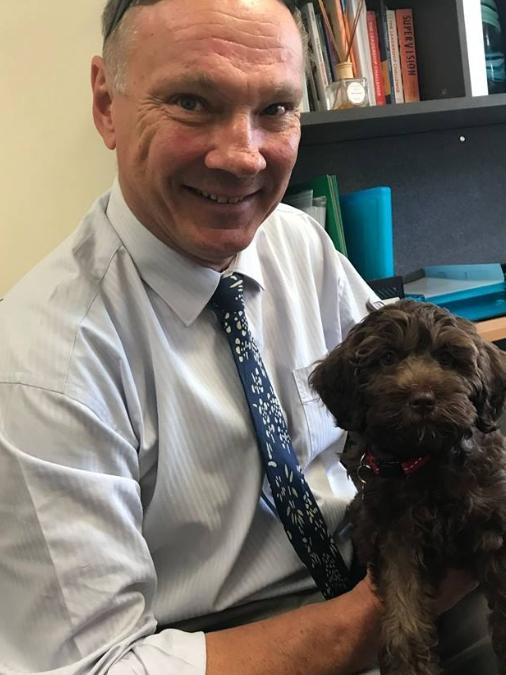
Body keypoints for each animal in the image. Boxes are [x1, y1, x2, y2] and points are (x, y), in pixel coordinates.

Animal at [310, 302, 506, 675]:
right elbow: (403, 604)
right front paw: (409, 664)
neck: (423, 459)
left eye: (448, 358)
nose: (423, 399)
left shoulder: (492, 519)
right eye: (386, 358)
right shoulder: (393, 532)